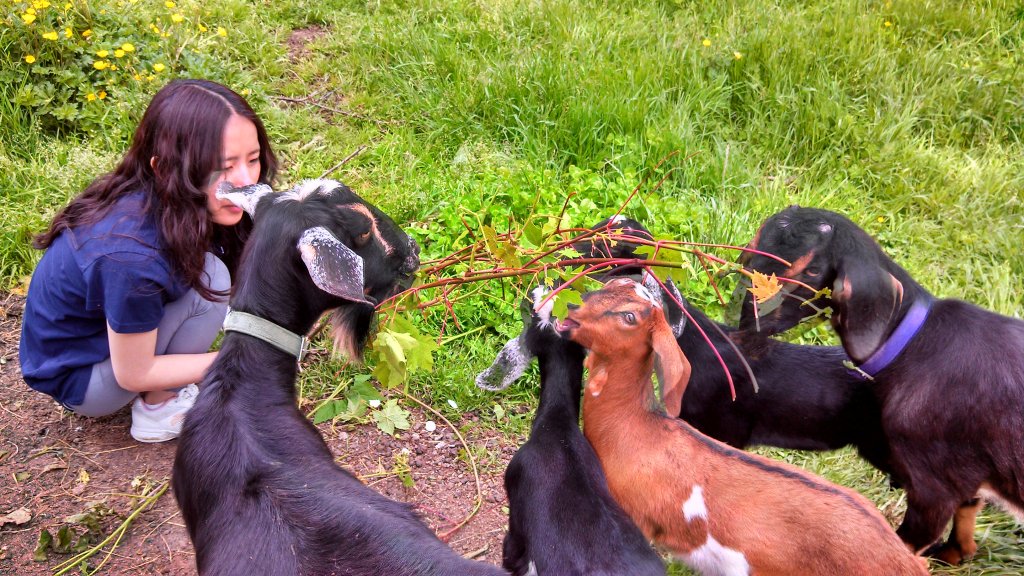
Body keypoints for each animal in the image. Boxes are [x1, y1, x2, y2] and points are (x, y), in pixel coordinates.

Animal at [561, 278, 929, 573]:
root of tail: (904, 564)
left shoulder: (636, 519)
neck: (635, 426)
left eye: (629, 317)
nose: (571, 307)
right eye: (611, 284)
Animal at [737, 204, 1024, 561]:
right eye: (750, 250)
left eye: (813, 270)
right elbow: (965, 524)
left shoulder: (934, 489)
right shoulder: (963, 477)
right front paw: (950, 557)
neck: (913, 342)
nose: (748, 324)